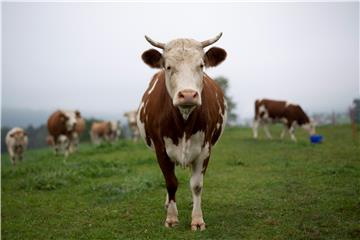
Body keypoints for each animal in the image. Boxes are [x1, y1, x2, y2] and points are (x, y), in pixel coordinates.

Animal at [136, 32, 226, 230]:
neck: (184, 122)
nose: (188, 95)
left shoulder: (205, 149)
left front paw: (197, 220)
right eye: (168, 66)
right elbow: (171, 183)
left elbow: (197, 184)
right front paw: (171, 217)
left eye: (201, 65)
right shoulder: (161, 149)